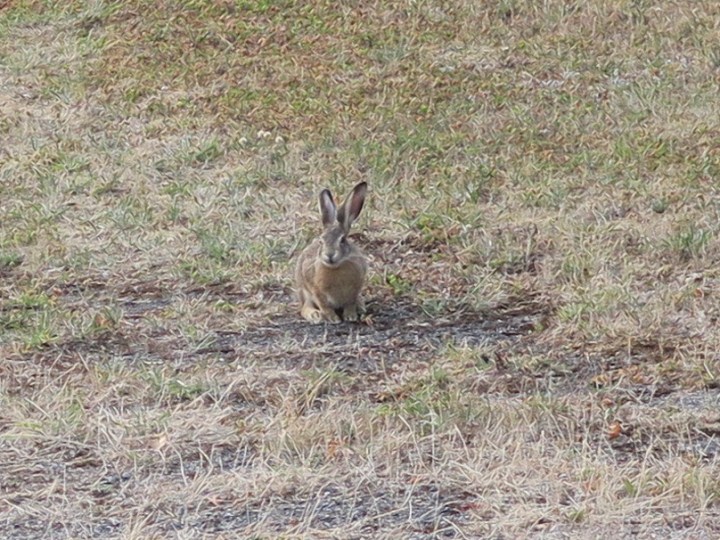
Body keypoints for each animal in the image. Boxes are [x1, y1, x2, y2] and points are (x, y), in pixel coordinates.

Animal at [295, 182, 368, 324]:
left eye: (342, 240)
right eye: (321, 241)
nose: (329, 255)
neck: (336, 268)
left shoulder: (354, 289)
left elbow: (350, 303)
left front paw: (350, 316)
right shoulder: (317, 291)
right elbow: (325, 306)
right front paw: (333, 318)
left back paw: (361, 307)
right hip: (304, 290)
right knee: (305, 307)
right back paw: (315, 315)